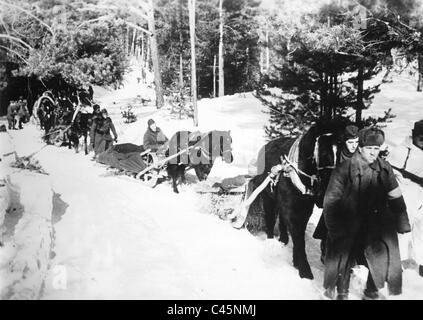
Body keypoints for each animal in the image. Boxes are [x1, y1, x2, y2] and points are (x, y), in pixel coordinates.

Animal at [247, 119, 346, 278]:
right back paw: (271, 240)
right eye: (324, 152)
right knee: (270, 219)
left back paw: (283, 239)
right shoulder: (292, 210)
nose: (331, 184)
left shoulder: (304, 209)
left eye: (341, 150)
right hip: (268, 198)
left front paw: (296, 261)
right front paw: (305, 270)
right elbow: (299, 238)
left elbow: (298, 233)